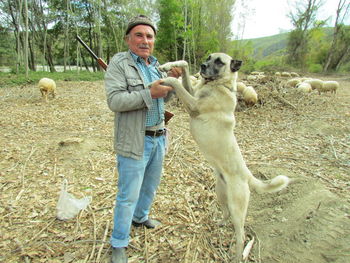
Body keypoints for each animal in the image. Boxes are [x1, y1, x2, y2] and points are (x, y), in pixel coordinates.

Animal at [159, 53, 290, 262]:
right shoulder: (193, 92)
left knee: (241, 235)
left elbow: (176, 82)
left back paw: (236, 256)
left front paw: (164, 79)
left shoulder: (194, 105)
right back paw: (220, 223)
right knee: (226, 213)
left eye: (219, 62)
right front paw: (169, 66)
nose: (203, 66)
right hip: (221, 194)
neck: (218, 85)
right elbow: (185, 66)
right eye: (208, 57)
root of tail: (247, 175)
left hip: (238, 209)